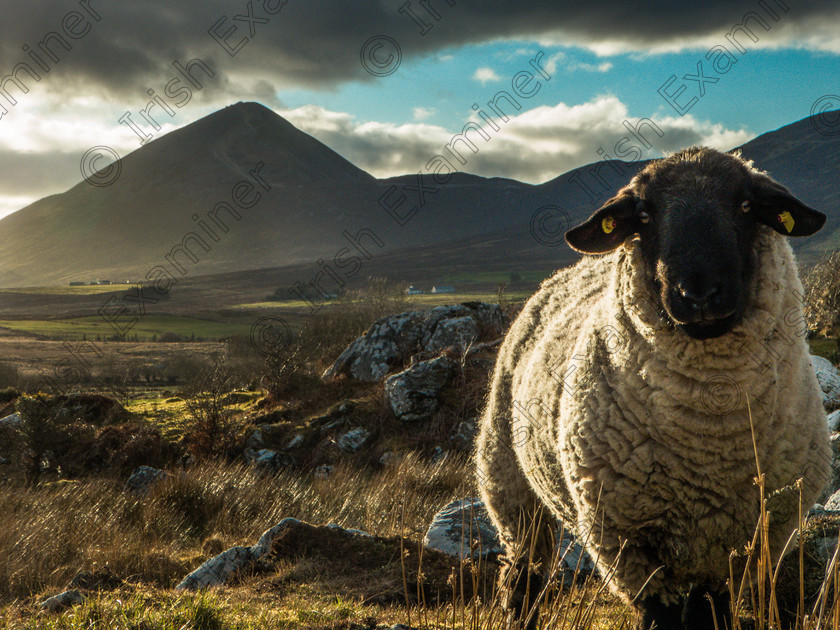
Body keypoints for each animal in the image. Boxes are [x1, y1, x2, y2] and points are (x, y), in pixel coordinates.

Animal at [476, 147, 832, 630]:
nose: (699, 294)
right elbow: (659, 617)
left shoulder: (745, 546)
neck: (708, 440)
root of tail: (572, 268)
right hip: (509, 483)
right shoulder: (625, 542)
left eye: (745, 205)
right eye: (644, 214)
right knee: (523, 572)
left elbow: (708, 614)